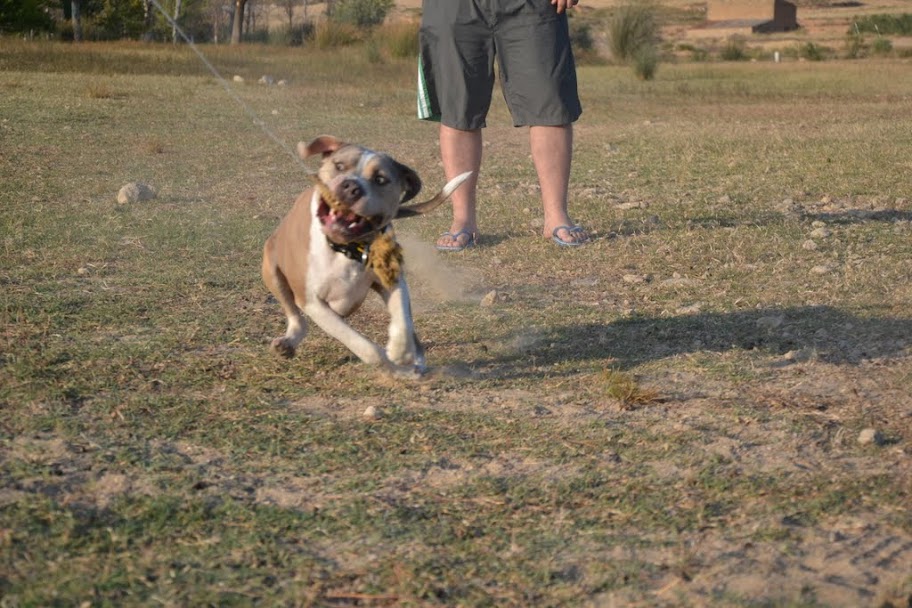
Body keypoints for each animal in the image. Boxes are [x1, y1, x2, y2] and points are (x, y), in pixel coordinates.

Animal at [258, 135, 466, 376]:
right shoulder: (312, 302)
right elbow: (366, 347)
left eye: (380, 179)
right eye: (339, 166)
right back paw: (288, 342)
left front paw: (400, 352)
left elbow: (403, 319)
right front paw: (391, 363)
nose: (351, 186)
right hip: (272, 270)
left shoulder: (392, 281)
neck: (348, 249)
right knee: (296, 318)